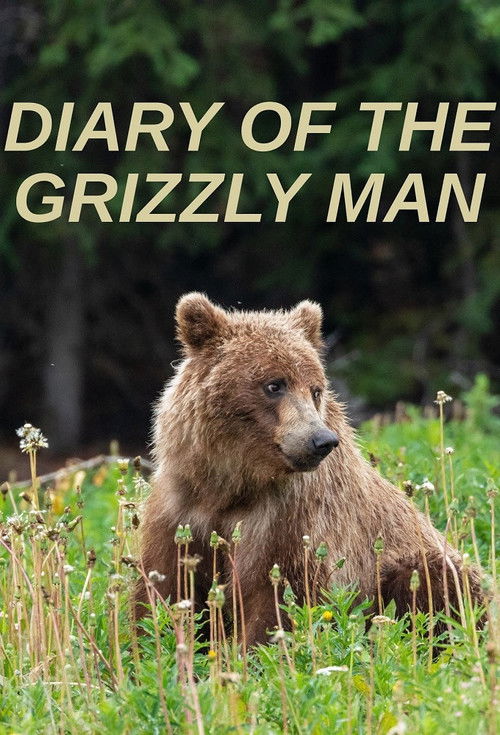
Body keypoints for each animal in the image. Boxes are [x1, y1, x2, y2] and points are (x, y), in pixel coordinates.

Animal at [134, 292, 482, 645]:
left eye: (315, 389)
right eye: (274, 385)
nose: (322, 440)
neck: (234, 484)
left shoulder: (288, 518)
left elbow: (276, 596)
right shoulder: (182, 507)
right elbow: (164, 587)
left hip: (412, 562)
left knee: (436, 581)